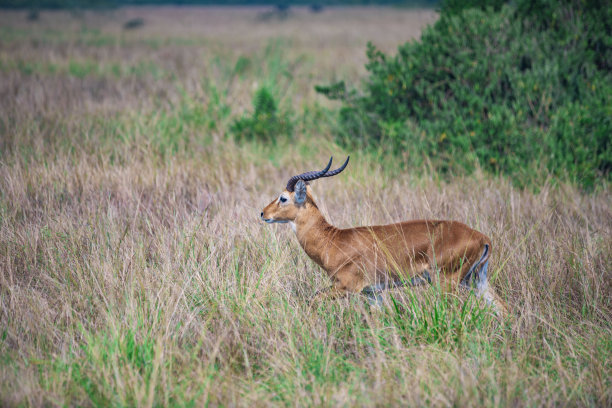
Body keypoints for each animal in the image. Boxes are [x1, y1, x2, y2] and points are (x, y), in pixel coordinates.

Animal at [260, 157, 510, 316]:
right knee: (503, 309)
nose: (263, 213)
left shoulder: (346, 288)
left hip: (446, 283)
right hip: (477, 281)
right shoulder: (373, 293)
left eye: (283, 198)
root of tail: (482, 238)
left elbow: (312, 300)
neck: (332, 241)